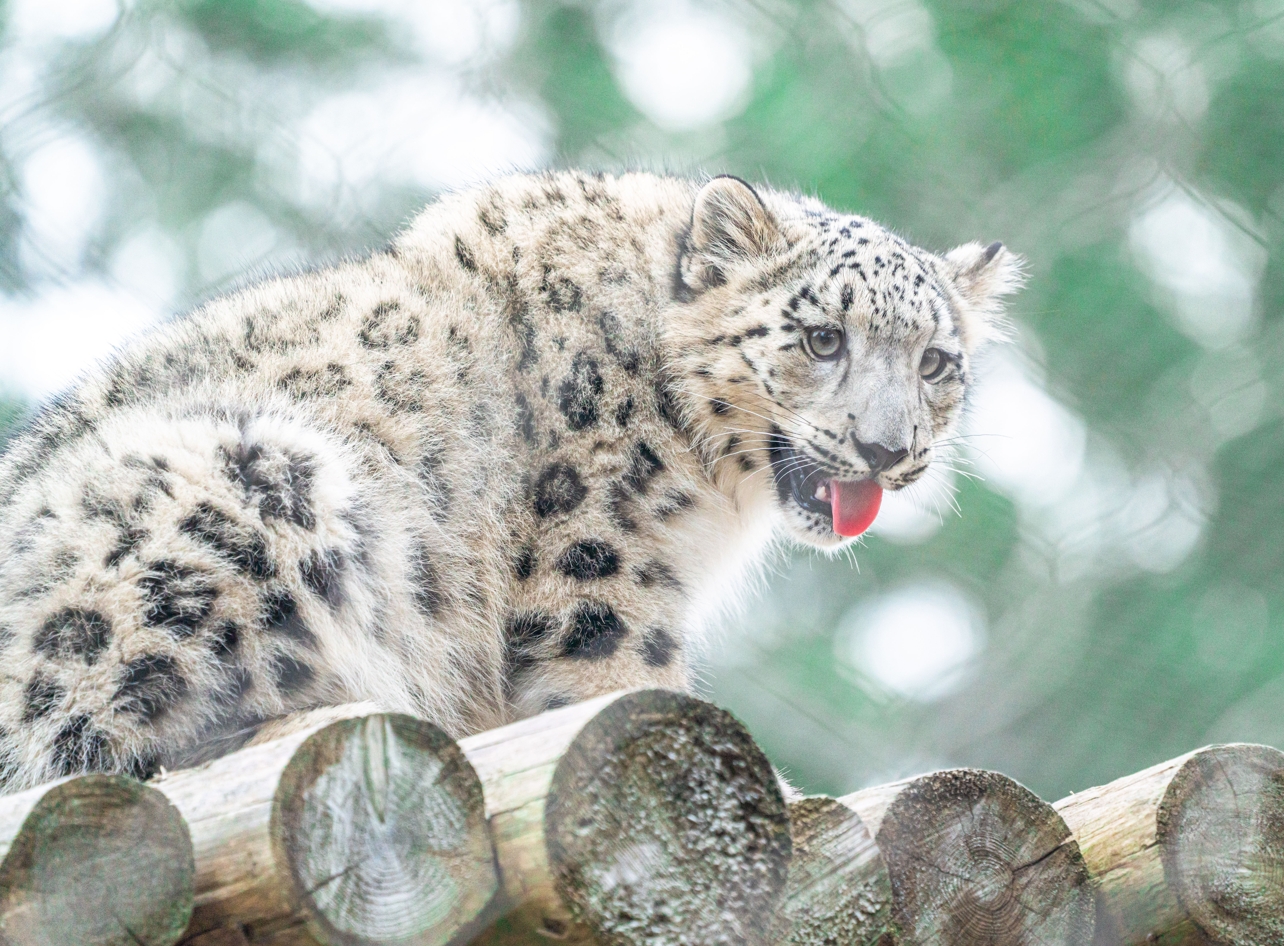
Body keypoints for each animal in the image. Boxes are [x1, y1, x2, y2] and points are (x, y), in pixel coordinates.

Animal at [0, 171, 1020, 791]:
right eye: (821, 338)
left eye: (936, 362)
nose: (887, 448)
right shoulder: (599, 569)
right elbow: (623, 692)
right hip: (249, 485)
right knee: (87, 746)